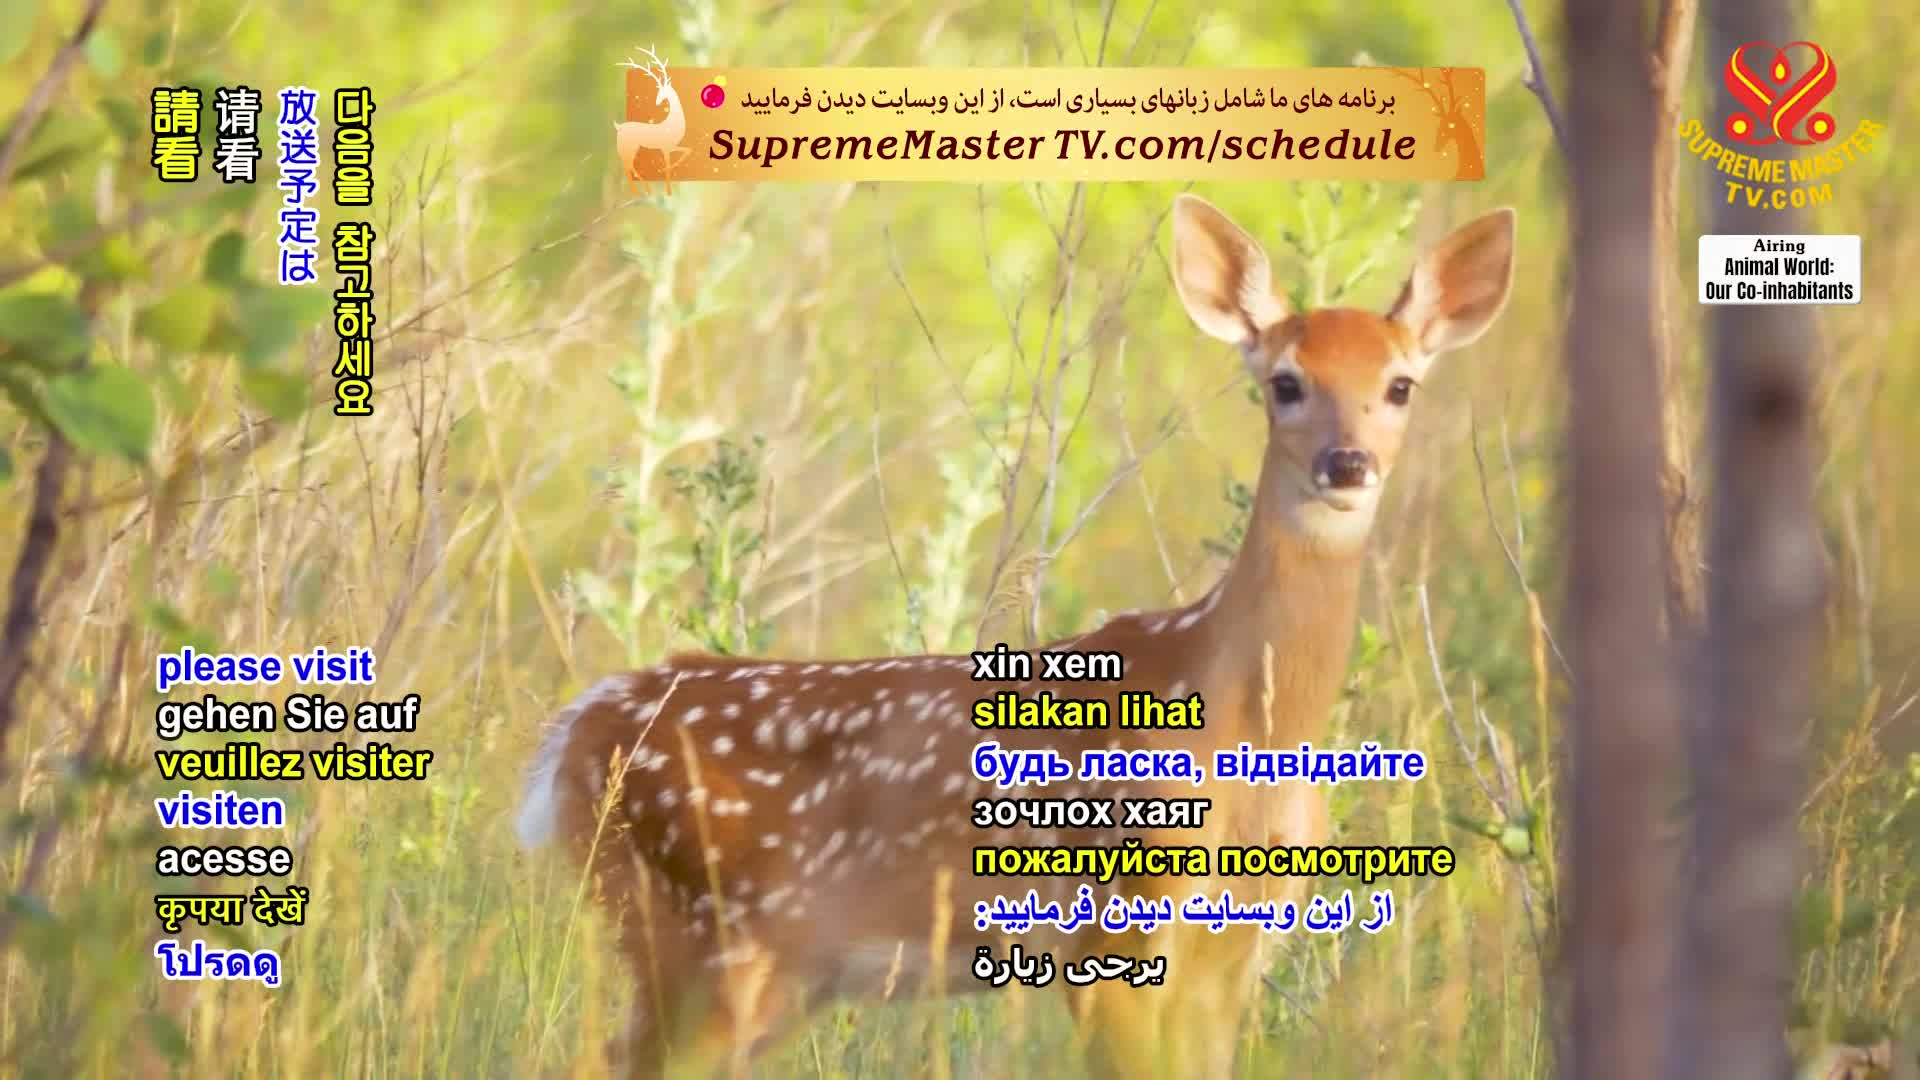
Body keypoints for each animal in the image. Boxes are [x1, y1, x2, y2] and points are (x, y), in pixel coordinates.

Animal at [515, 193, 1516, 1078]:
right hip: (698, 935)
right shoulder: (1110, 926)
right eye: (1285, 383)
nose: (1347, 464)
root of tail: (575, 728)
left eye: (1400, 385)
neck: (1250, 729)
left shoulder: (1235, 949)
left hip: (770, 972)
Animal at [615, 45, 691, 194]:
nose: (657, 102)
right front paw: (668, 189)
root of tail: (619, 127)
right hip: (628, 148)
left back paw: (645, 189)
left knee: (629, 166)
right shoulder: (666, 148)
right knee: (627, 166)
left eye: (661, 91)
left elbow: (688, 151)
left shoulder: (670, 147)